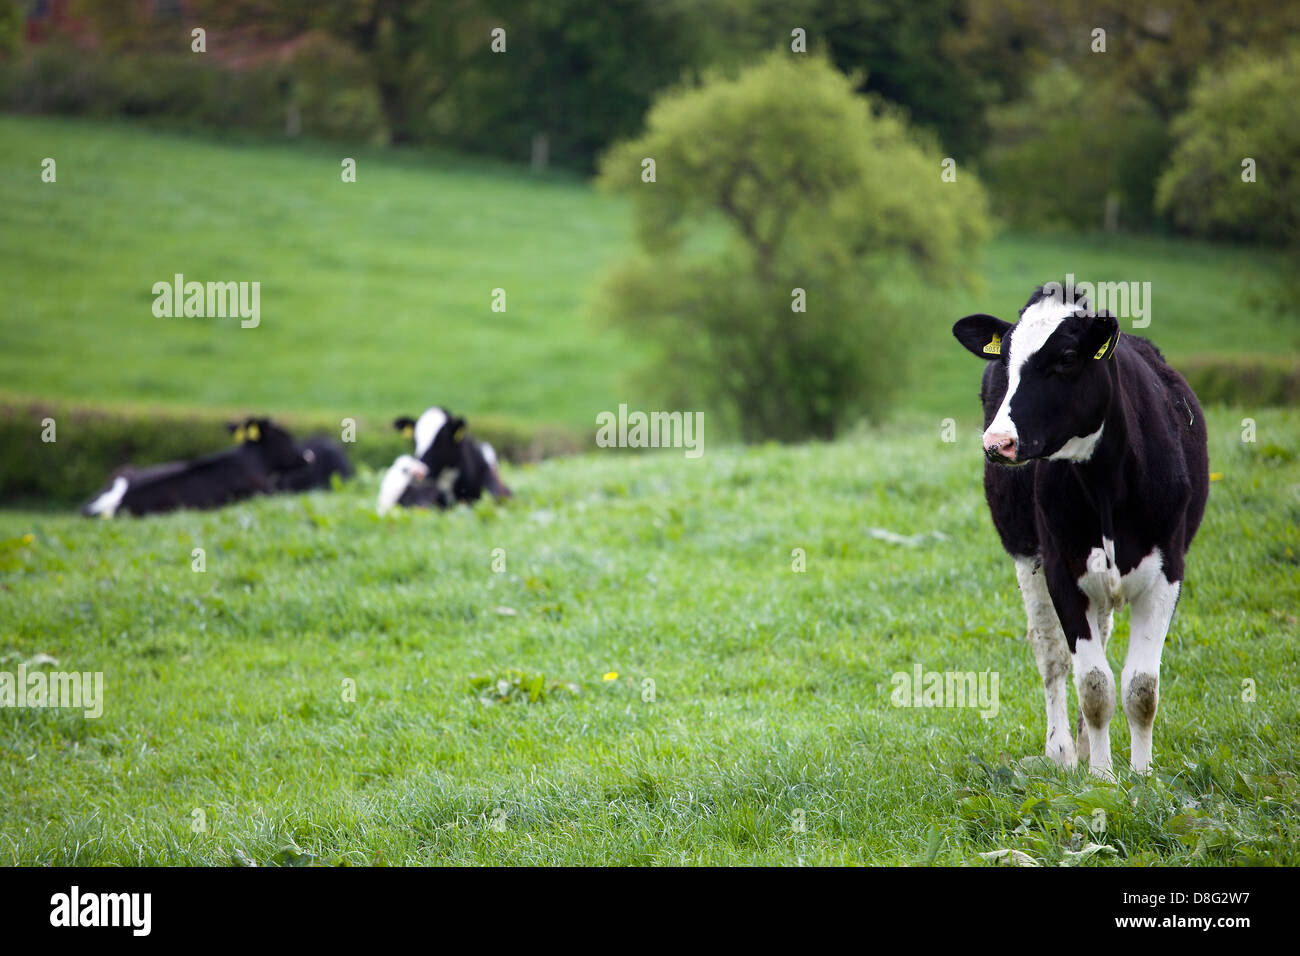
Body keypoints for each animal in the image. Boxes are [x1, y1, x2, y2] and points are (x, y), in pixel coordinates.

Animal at [951, 283, 1211, 780]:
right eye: (1005, 356)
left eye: (1068, 358)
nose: (998, 442)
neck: (1106, 483)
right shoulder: (1061, 570)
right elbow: (1094, 685)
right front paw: (1103, 778)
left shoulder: (1168, 571)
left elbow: (1140, 687)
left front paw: (1141, 777)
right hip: (1028, 554)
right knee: (1052, 655)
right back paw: (1064, 752)